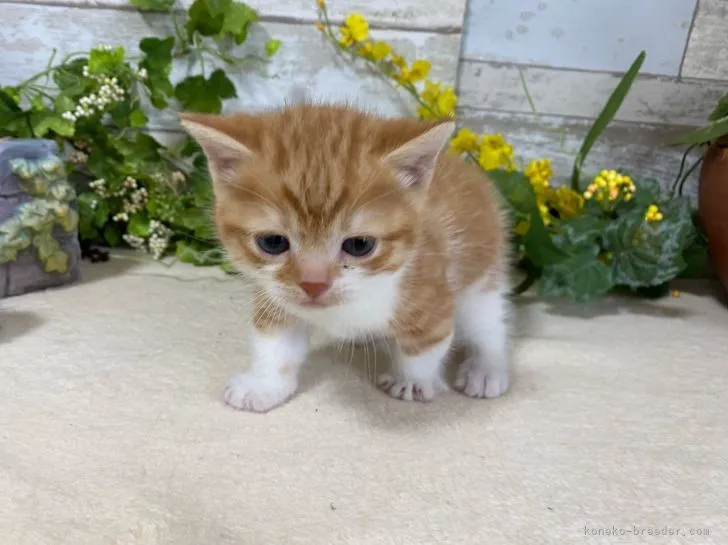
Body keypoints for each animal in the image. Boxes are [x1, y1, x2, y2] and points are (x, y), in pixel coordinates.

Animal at [181, 103, 512, 412]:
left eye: (359, 245)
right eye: (273, 243)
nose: (313, 284)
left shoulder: (429, 296)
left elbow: (426, 345)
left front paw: (411, 380)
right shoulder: (275, 295)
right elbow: (274, 343)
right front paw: (263, 385)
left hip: (480, 276)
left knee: (488, 322)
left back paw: (487, 369)